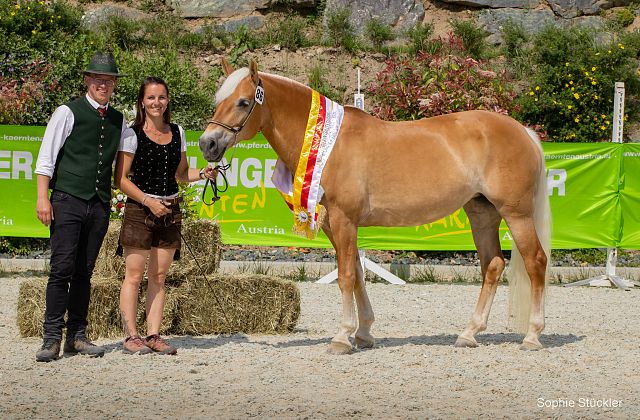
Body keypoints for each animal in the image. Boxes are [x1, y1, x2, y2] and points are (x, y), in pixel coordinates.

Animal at [200, 59, 552, 354]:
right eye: (219, 100)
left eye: (243, 102)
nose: (207, 143)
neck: (328, 143)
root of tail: (523, 131)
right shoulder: (336, 224)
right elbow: (356, 273)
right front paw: (364, 333)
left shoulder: (344, 220)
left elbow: (345, 276)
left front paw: (342, 337)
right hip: (482, 213)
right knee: (492, 265)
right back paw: (469, 333)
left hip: (516, 215)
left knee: (535, 262)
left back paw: (532, 336)